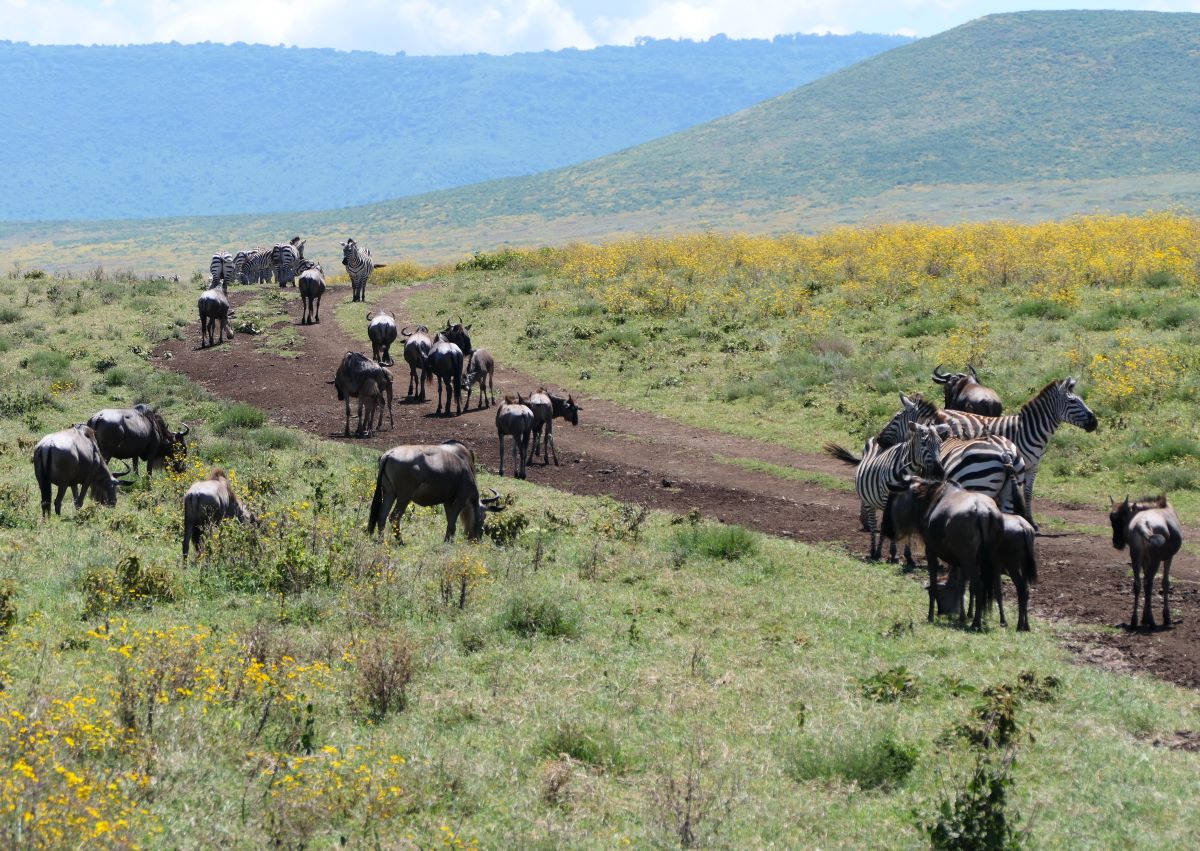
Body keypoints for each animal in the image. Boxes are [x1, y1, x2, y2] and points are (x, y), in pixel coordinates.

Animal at [825, 420, 945, 564]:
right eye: (924, 442)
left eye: (940, 442)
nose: (939, 472)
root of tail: (875, 438)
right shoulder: (888, 498)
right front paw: (895, 555)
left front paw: (909, 557)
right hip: (869, 501)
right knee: (873, 524)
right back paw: (874, 551)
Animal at [936, 376, 1099, 518]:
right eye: (1072, 401)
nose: (1095, 422)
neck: (1027, 430)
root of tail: (943, 410)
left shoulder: (1032, 467)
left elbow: (1027, 494)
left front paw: (1031, 520)